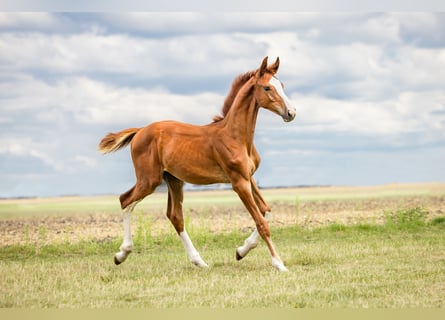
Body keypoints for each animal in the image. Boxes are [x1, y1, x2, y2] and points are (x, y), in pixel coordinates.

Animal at [99, 56, 296, 272]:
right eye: (267, 88)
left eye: (282, 85)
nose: (291, 112)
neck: (235, 137)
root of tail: (140, 130)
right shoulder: (238, 182)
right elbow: (262, 223)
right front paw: (279, 264)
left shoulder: (249, 177)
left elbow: (266, 210)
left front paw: (241, 251)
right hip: (149, 180)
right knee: (125, 200)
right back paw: (121, 254)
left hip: (174, 180)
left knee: (175, 216)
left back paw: (199, 261)